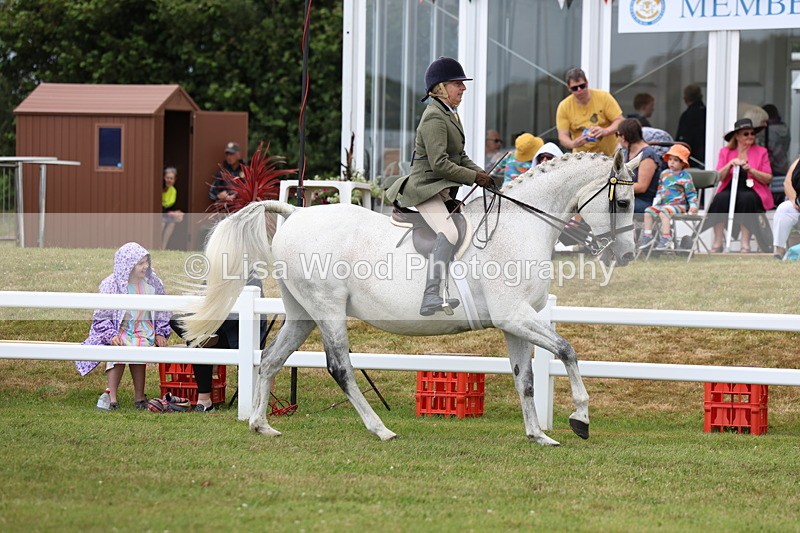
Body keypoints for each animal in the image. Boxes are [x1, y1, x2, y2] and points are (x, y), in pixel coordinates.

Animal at [183, 150, 640, 446]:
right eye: (622, 201)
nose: (627, 255)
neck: (521, 225)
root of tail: (295, 213)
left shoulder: (515, 322)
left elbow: (525, 378)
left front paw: (538, 435)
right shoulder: (515, 316)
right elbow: (567, 350)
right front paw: (580, 418)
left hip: (302, 315)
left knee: (270, 360)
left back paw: (262, 425)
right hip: (327, 310)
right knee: (340, 368)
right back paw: (380, 429)